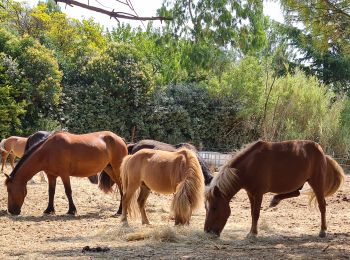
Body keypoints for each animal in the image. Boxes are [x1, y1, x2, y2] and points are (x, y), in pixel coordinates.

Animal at [205, 140, 344, 238]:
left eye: (214, 208)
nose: (207, 231)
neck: (249, 165)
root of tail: (322, 153)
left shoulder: (258, 193)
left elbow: (256, 213)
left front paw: (253, 233)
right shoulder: (250, 193)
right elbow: (252, 212)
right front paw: (252, 231)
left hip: (316, 183)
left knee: (322, 205)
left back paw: (323, 231)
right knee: (296, 193)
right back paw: (275, 200)